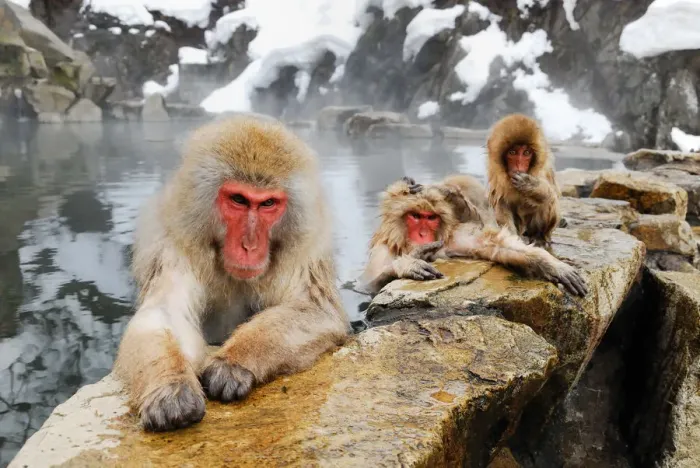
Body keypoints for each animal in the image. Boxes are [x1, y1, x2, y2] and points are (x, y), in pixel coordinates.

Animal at [113, 117, 350, 432]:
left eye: (267, 204)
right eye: (238, 199)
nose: (249, 246)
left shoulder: (307, 246)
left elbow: (315, 309)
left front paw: (234, 362)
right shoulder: (172, 242)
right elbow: (164, 312)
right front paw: (171, 388)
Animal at [360, 176, 588, 297]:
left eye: (430, 217)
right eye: (415, 216)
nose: (423, 234)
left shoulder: (451, 239)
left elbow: (495, 245)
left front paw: (551, 264)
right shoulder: (382, 250)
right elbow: (367, 284)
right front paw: (409, 263)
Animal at [486, 114, 561, 247]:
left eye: (526, 153)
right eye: (512, 152)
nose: (519, 165)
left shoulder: (546, 170)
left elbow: (552, 195)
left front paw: (530, 185)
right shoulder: (496, 174)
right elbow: (501, 202)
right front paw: (511, 238)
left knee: (546, 200)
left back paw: (538, 237)